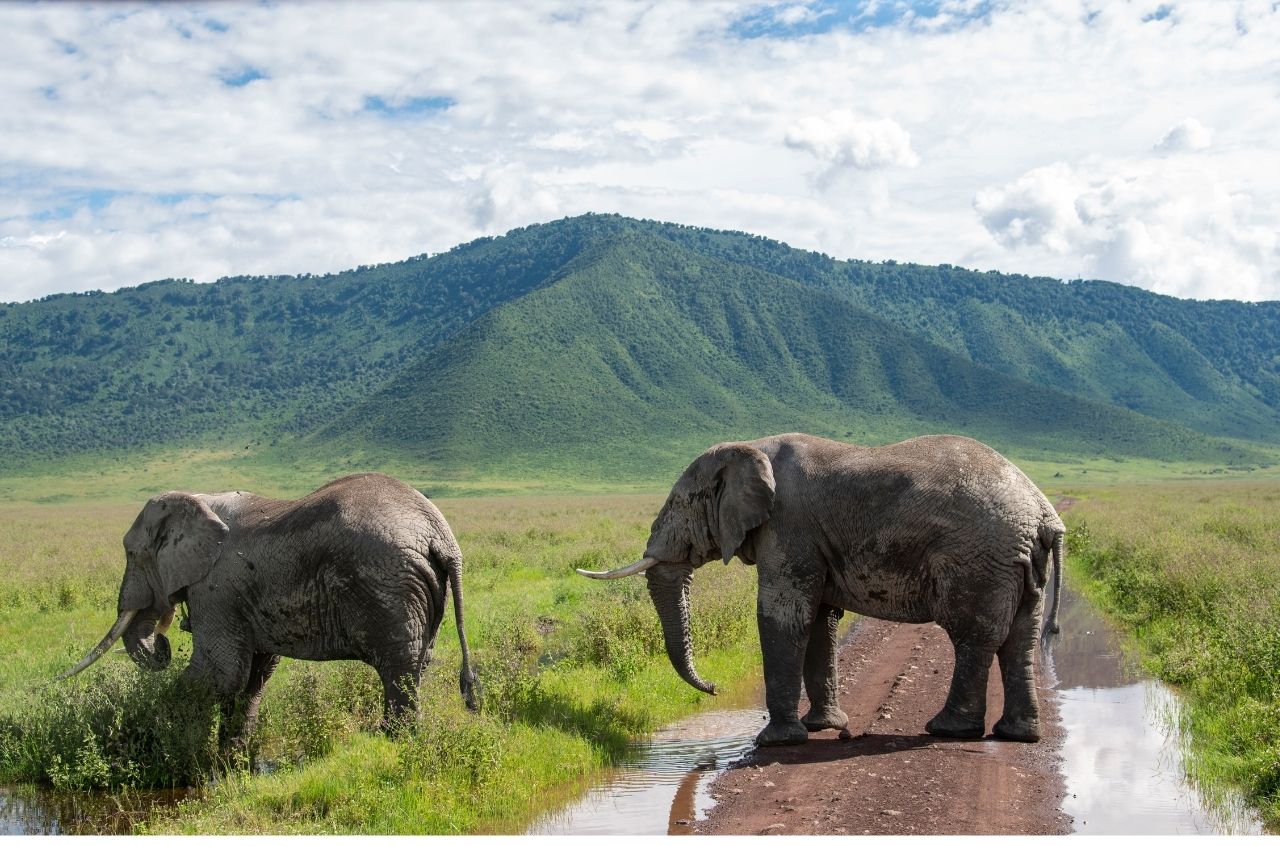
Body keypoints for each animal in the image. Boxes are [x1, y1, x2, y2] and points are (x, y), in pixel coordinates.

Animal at [58, 472, 478, 746]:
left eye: (132, 553)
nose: (163, 643)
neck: (198, 497)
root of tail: (441, 534)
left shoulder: (216, 588)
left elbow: (221, 672)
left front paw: (155, 737)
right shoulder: (240, 597)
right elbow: (253, 673)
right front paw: (233, 752)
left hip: (388, 583)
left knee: (398, 665)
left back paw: (393, 740)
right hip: (418, 588)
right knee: (417, 663)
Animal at [579, 433, 1063, 747]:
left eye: (683, 502)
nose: (715, 688)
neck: (751, 447)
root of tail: (1044, 512)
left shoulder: (788, 526)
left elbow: (783, 614)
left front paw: (775, 742)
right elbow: (818, 620)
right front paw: (821, 727)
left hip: (979, 558)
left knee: (975, 637)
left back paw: (946, 730)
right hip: (1015, 562)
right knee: (1019, 638)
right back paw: (1017, 735)